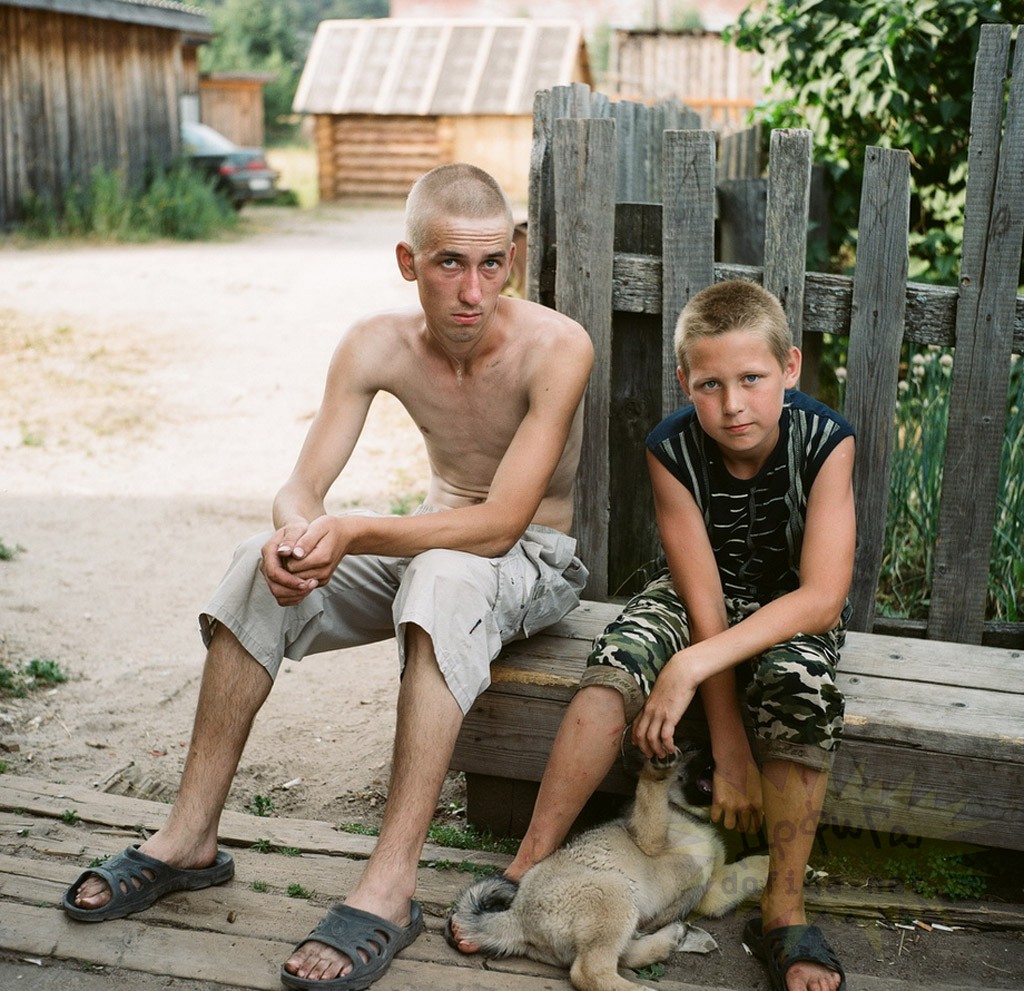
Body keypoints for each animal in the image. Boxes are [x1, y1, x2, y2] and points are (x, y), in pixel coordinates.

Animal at [448, 749, 770, 991]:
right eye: (692, 747)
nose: (718, 756)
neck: (690, 815)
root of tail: (515, 917)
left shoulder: (712, 889)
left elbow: (751, 867)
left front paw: (772, 864)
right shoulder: (649, 837)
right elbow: (651, 796)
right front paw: (657, 771)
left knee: (618, 957)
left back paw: (668, 939)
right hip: (615, 894)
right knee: (589, 972)